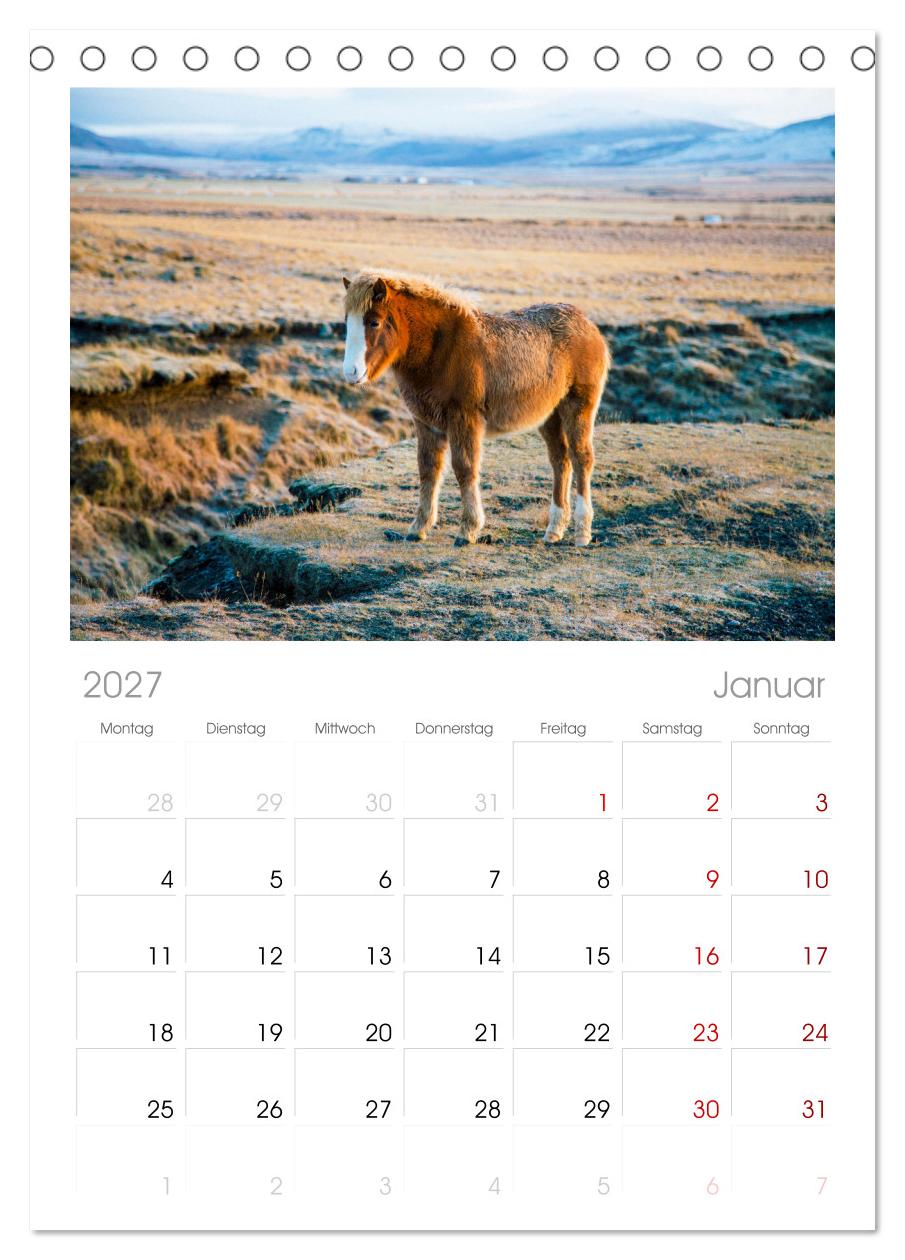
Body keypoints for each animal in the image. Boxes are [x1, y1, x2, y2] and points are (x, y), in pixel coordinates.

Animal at [342, 271, 610, 546]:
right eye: (347, 322)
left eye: (374, 322)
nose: (351, 372)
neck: (439, 348)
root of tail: (588, 325)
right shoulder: (426, 422)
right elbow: (428, 470)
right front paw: (419, 527)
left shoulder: (464, 419)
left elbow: (464, 468)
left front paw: (468, 530)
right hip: (550, 416)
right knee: (560, 460)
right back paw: (554, 530)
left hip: (578, 408)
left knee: (581, 458)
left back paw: (582, 532)